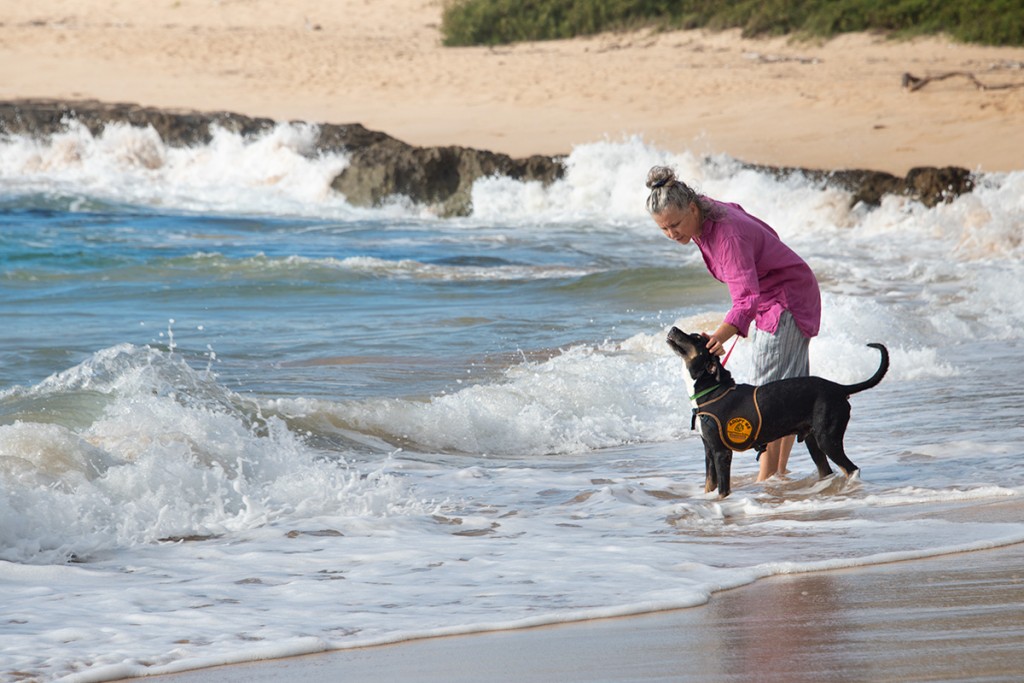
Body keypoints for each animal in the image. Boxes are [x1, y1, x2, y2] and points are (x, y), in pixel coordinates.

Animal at [663, 327, 888, 497]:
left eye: (697, 338)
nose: (673, 328)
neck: (711, 390)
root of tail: (839, 388)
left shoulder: (721, 452)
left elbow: (722, 490)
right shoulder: (709, 451)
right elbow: (710, 484)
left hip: (827, 439)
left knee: (852, 469)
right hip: (813, 441)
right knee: (828, 470)